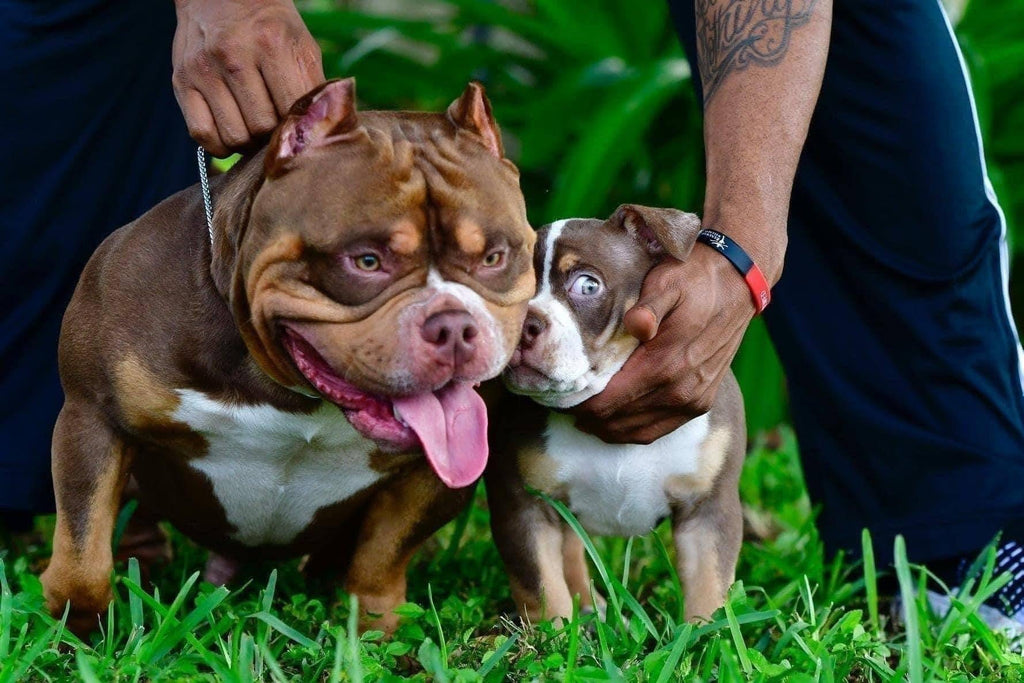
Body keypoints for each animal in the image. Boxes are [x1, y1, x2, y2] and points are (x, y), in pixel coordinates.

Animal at [39, 78, 536, 634]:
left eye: (493, 257)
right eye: (367, 261)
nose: (453, 326)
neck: (290, 388)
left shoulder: (439, 472)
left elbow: (384, 552)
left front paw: (372, 629)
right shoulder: (92, 419)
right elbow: (82, 552)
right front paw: (80, 631)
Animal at [487, 206, 745, 626]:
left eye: (587, 286)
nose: (524, 323)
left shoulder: (708, 509)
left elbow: (709, 585)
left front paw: (708, 637)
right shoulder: (523, 505)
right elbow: (542, 587)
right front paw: (556, 637)